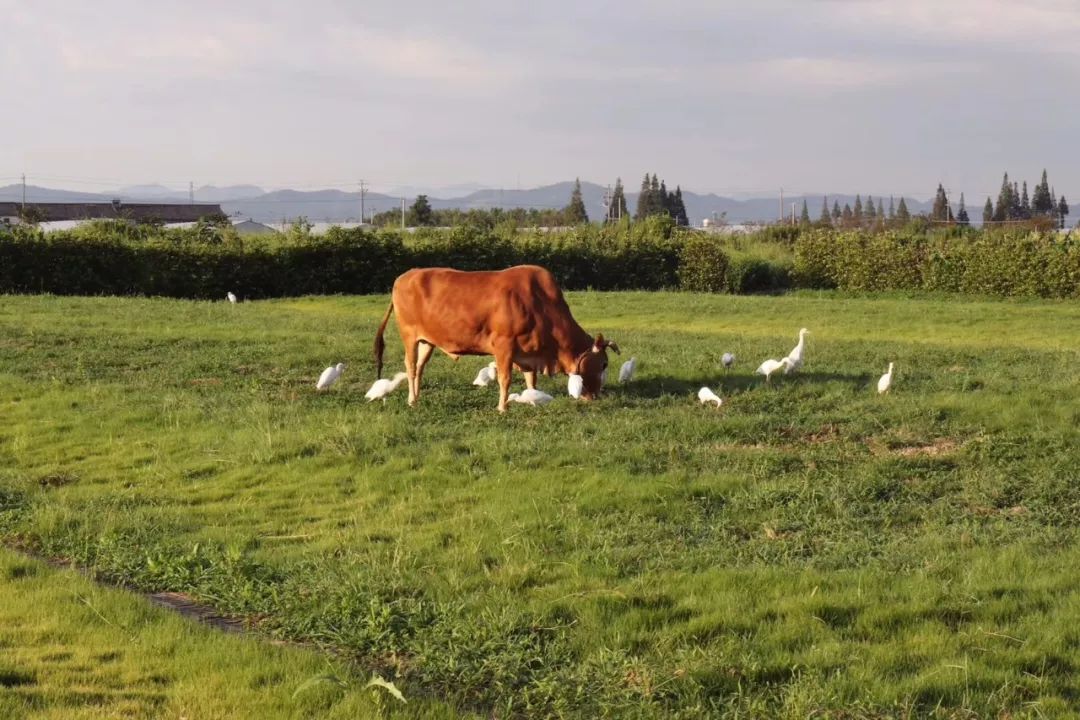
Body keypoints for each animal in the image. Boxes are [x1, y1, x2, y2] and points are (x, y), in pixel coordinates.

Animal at [375, 264, 622, 410]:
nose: (596, 396)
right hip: (409, 336)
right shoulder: (504, 346)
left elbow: (531, 379)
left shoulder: (528, 352)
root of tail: (403, 277)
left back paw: (416, 396)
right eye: (604, 363)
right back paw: (411, 399)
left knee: (420, 367)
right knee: (410, 366)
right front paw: (503, 407)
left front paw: (531, 397)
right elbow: (505, 378)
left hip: (428, 341)